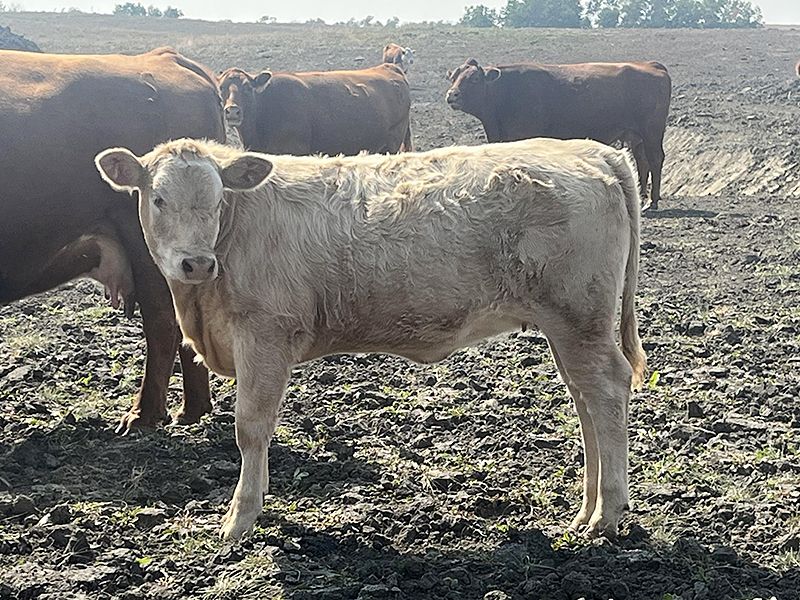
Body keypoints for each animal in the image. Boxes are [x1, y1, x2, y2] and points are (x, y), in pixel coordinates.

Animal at [95, 136, 646, 541]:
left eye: (216, 199)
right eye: (158, 198)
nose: (195, 262)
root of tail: (592, 150)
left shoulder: (264, 335)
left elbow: (251, 427)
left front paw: (240, 518)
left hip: (580, 317)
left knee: (607, 391)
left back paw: (607, 513)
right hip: (567, 326)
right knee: (585, 400)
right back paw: (586, 509)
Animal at [218, 63, 413, 155]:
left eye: (247, 88)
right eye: (221, 88)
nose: (232, 110)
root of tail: (389, 68)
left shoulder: (294, 150)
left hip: (392, 143)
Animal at [445, 59, 671, 210]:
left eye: (474, 79)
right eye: (454, 77)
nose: (451, 95)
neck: (505, 93)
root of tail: (651, 65)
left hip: (651, 132)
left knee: (655, 159)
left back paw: (652, 201)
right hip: (637, 137)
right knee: (642, 162)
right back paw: (641, 197)